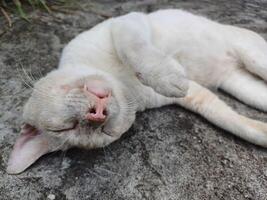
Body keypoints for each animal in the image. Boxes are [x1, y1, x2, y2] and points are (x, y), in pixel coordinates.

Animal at [6, 10, 267, 174]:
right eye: (69, 128)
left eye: (60, 128)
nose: (96, 114)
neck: (121, 81)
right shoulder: (194, 94)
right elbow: (229, 119)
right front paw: (262, 133)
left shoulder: (127, 22)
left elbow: (133, 49)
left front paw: (167, 76)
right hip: (241, 85)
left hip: (253, 56)